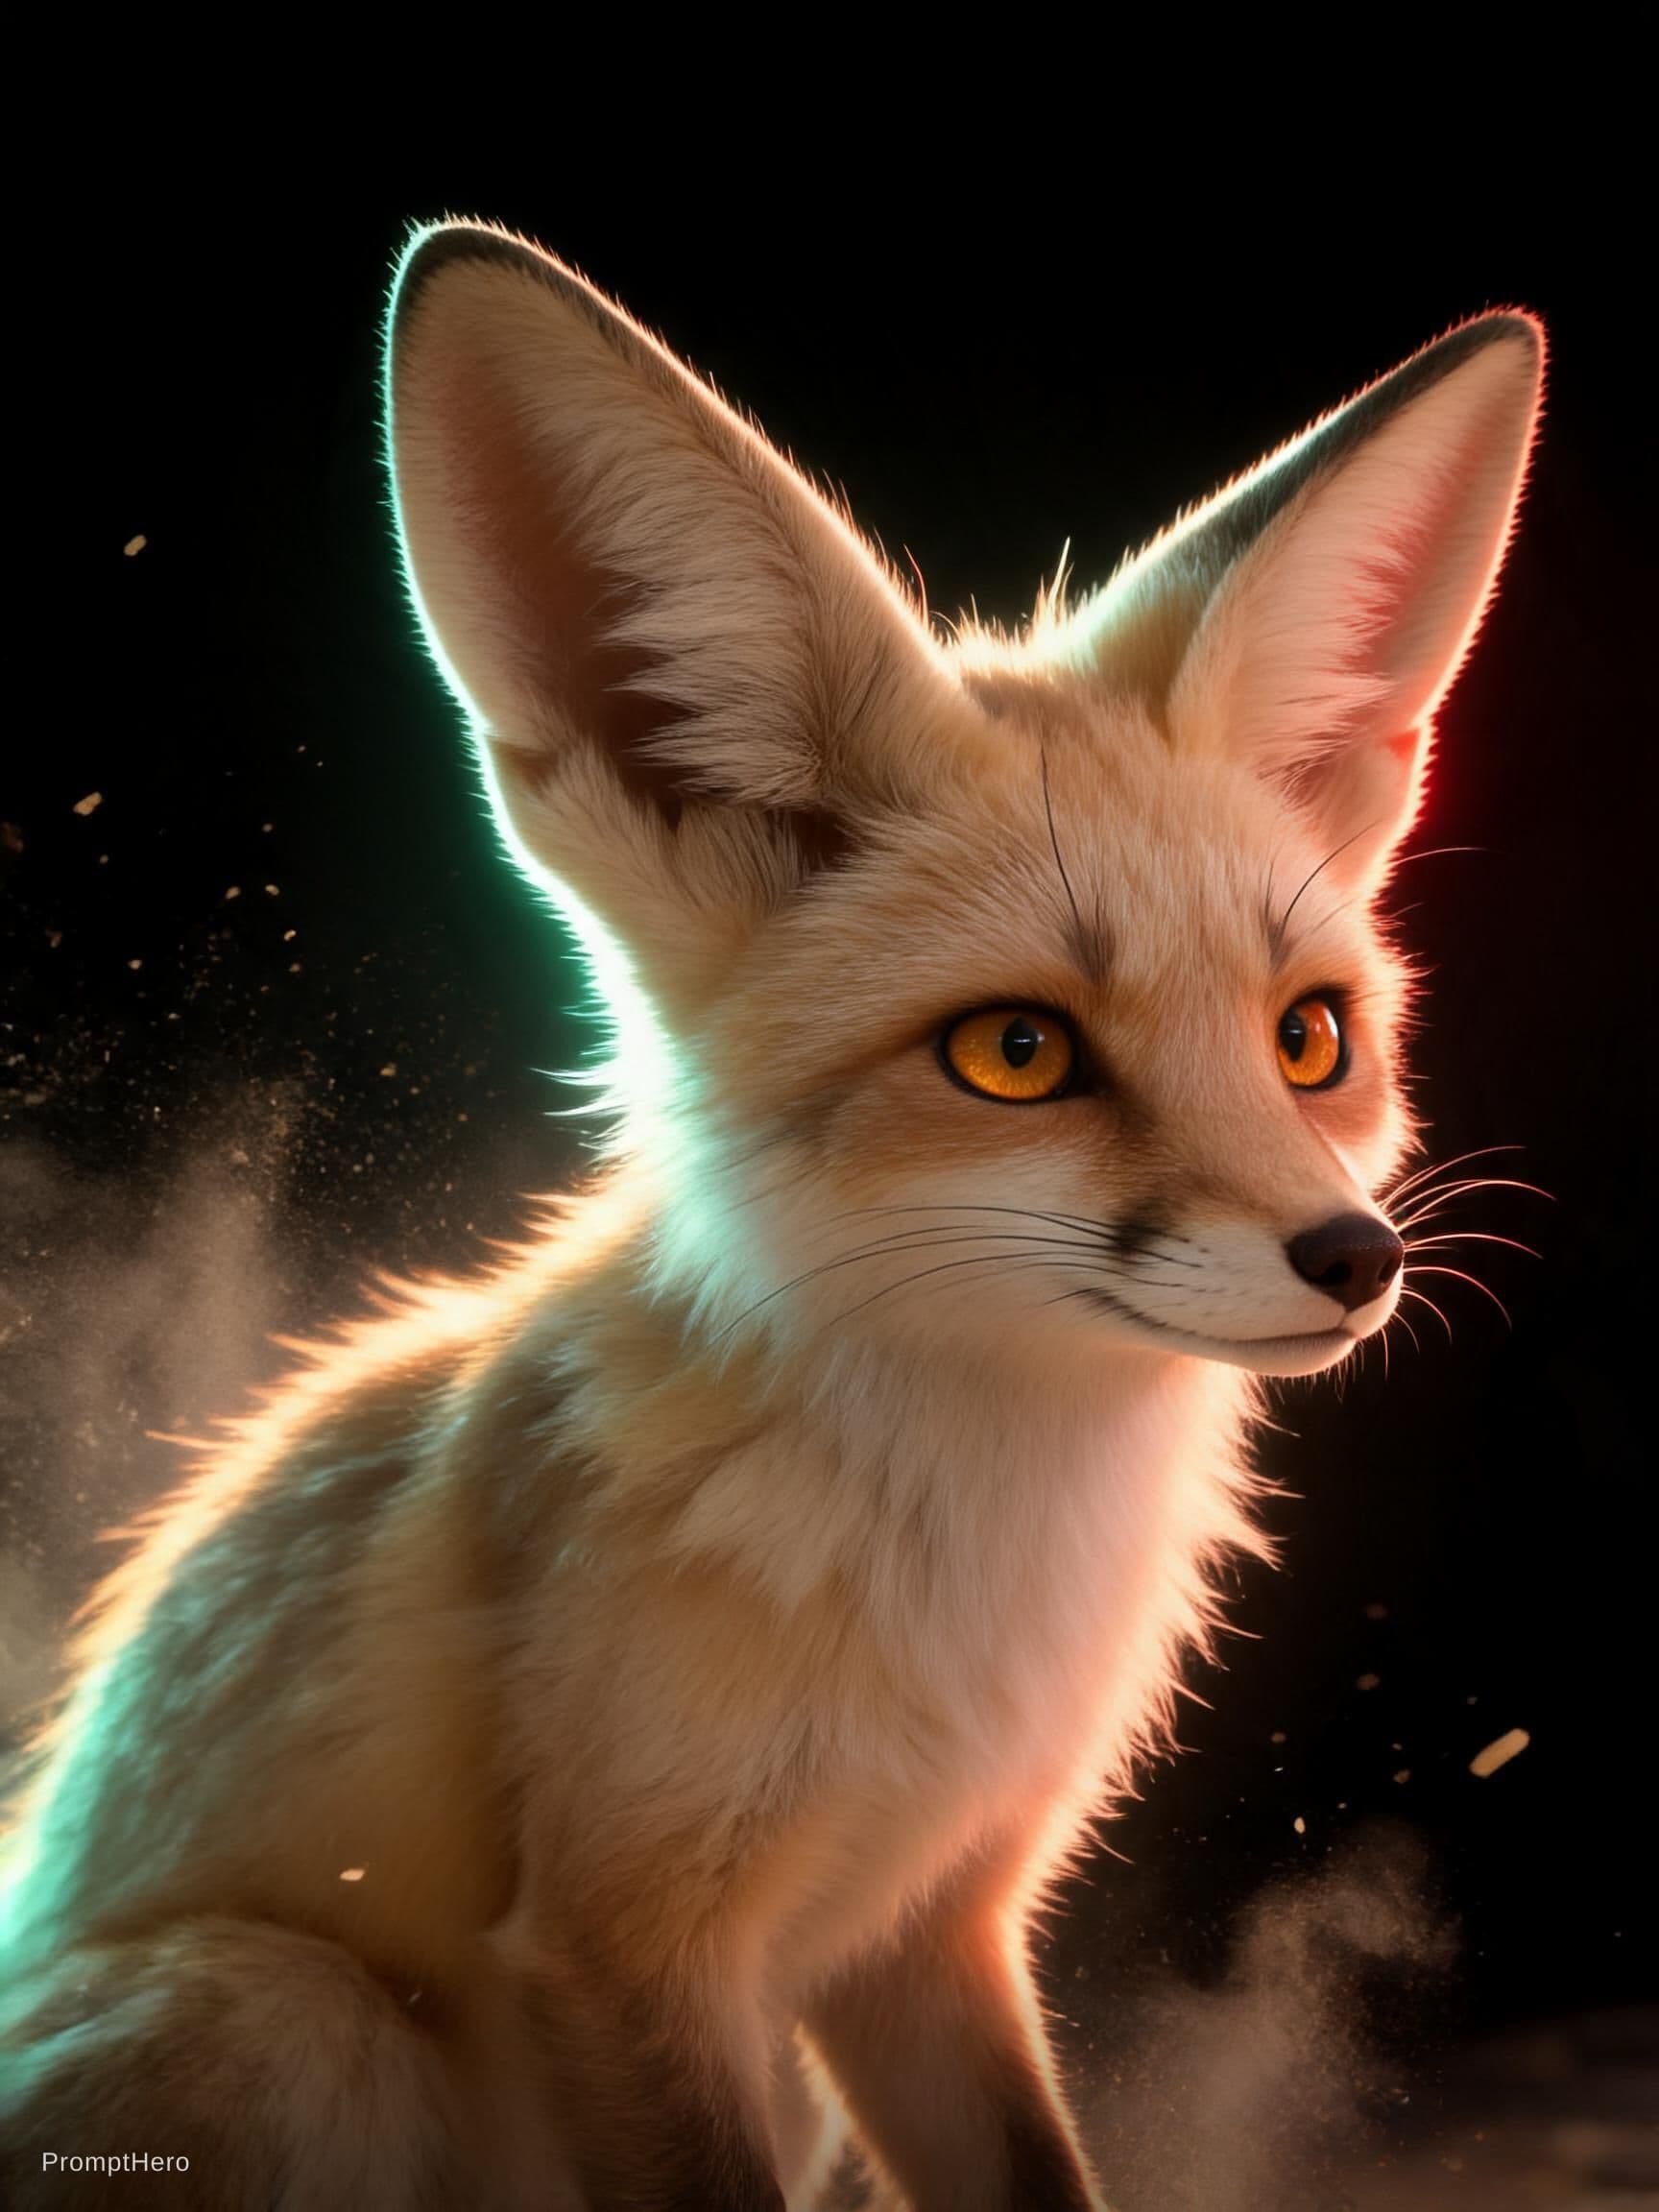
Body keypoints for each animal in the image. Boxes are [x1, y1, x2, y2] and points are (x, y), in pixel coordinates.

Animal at [0, 220, 1543, 2211]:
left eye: (1308, 1038)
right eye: (1016, 1050)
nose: (1355, 1260)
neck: (960, 1568)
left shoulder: (928, 1931)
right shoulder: (618, 1940)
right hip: (296, 2017)